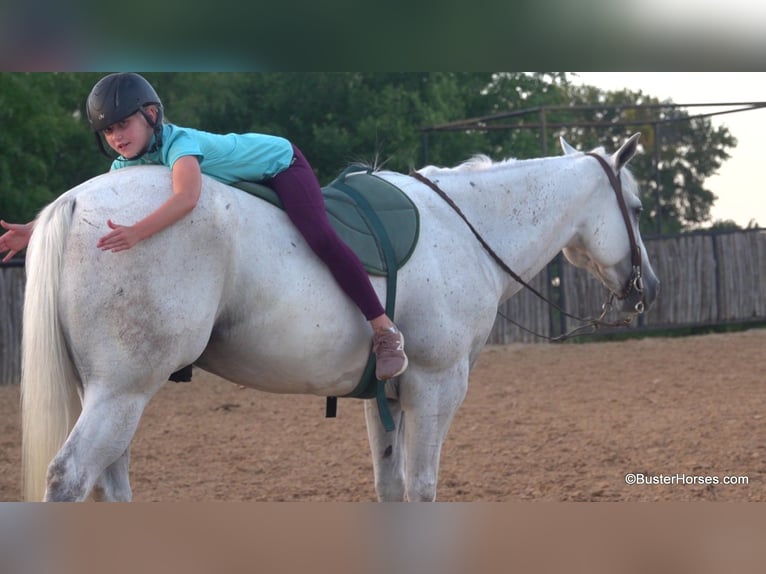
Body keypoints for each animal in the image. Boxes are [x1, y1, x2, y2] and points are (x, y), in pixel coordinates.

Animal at [21, 133, 664, 502]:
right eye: (635, 207)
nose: (649, 288)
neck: (465, 226)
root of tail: (76, 200)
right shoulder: (436, 387)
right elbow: (422, 489)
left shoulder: (385, 397)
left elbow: (389, 487)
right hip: (123, 391)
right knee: (71, 478)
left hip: (113, 395)